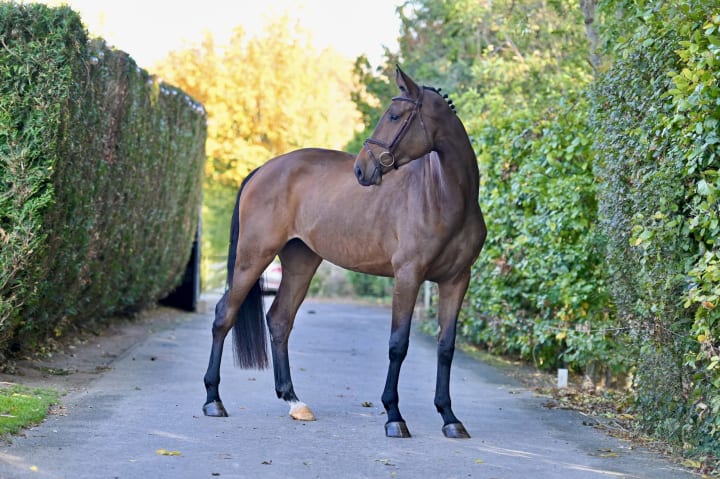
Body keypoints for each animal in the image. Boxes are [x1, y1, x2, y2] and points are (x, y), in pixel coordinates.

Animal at [202, 66, 486, 439]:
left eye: (394, 116)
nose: (362, 170)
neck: (444, 196)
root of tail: (262, 170)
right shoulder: (408, 276)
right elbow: (398, 344)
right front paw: (394, 416)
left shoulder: (456, 281)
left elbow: (446, 347)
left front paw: (450, 418)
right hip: (253, 257)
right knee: (225, 314)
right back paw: (213, 400)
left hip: (301, 262)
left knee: (279, 320)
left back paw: (294, 402)